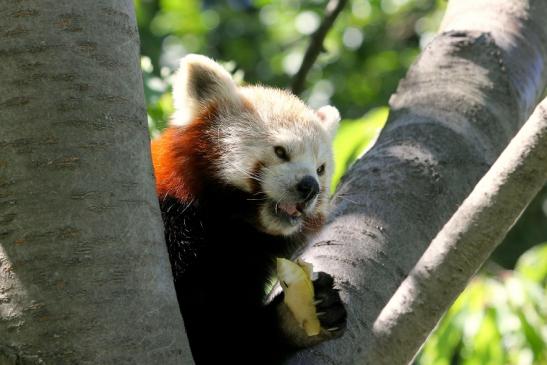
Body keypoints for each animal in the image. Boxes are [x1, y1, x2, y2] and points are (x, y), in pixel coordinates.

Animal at [152, 54, 344, 364]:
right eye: (281, 152)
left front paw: (302, 315)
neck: (234, 225)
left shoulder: (245, 265)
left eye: (320, 169)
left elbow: (238, 338)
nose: (310, 187)